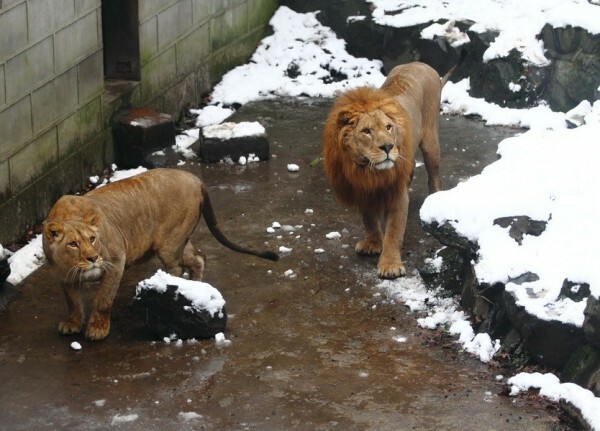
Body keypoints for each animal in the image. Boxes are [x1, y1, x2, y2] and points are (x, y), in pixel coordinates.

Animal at [42, 169, 278, 340]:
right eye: (73, 244)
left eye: (92, 239)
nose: (92, 258)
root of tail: (195, 179)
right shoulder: (63, 275)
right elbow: (73, 302)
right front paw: (72, 324)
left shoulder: (116, 261)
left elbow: (103, 299)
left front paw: (98, 329)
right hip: (179, 240)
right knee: (198, 259)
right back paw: (197, 287)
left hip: (168, 244)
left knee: (177, 268)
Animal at [324, 61, 454, 280]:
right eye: (366, 131)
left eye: (388, 127)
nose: (388, 147)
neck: (371, 171)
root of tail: (421, 64)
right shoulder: (363, 187)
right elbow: (368, 218)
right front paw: (372, 243)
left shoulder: (397, 194)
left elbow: (394, 231)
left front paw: (390, 265)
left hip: (430, 141)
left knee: (435, 178)